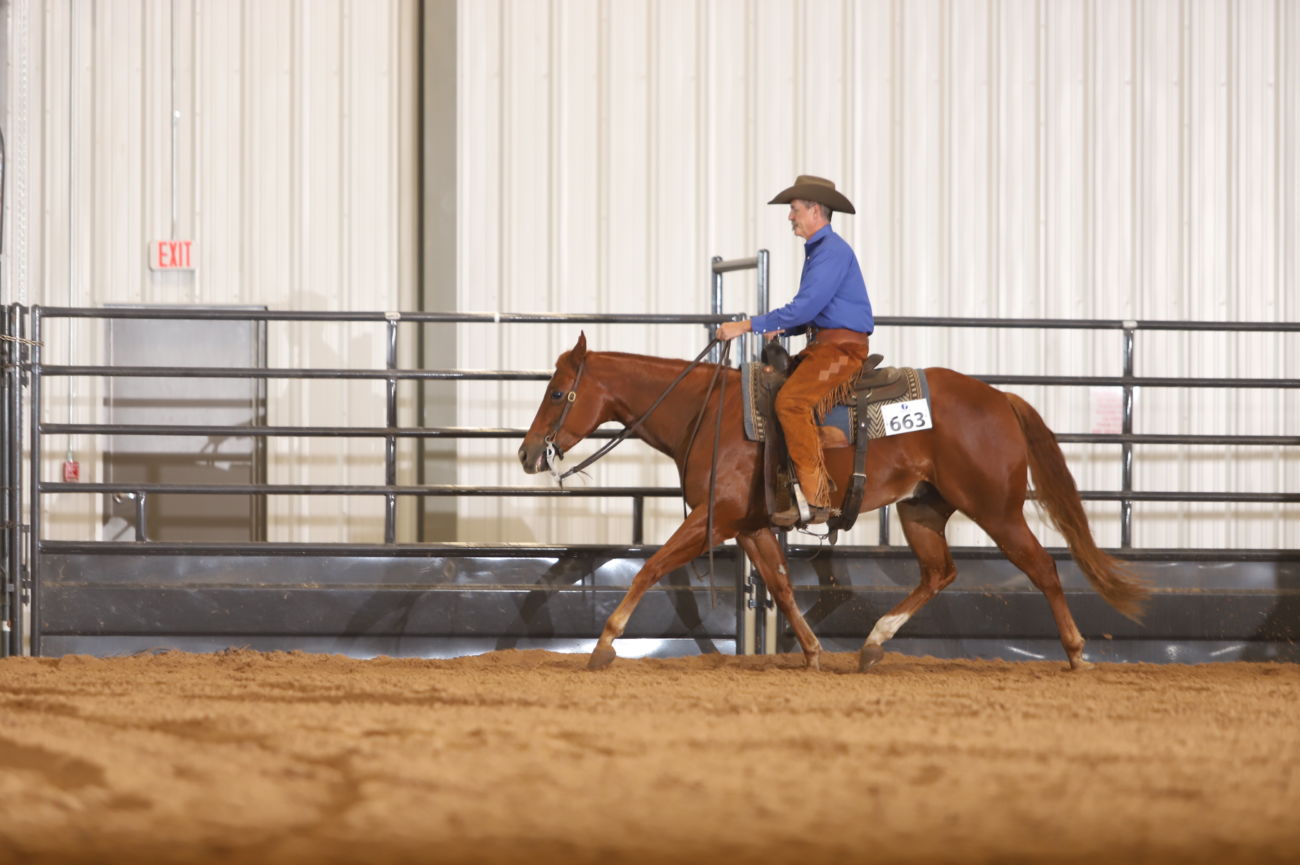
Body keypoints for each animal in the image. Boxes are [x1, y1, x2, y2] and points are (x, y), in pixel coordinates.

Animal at [518, 333, 1148, 672]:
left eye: (557, 392)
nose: (526, 454)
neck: (707, 412)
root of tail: (999, 399)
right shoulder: (750, 526)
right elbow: (780, 585)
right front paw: (815, 652)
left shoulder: (713, 519)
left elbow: (650, 566)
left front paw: (604, 644)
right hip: (921, 509)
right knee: (939, 573)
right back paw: (871, 646)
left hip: (996, 509)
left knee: (1042, 567)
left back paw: (1076, 654)